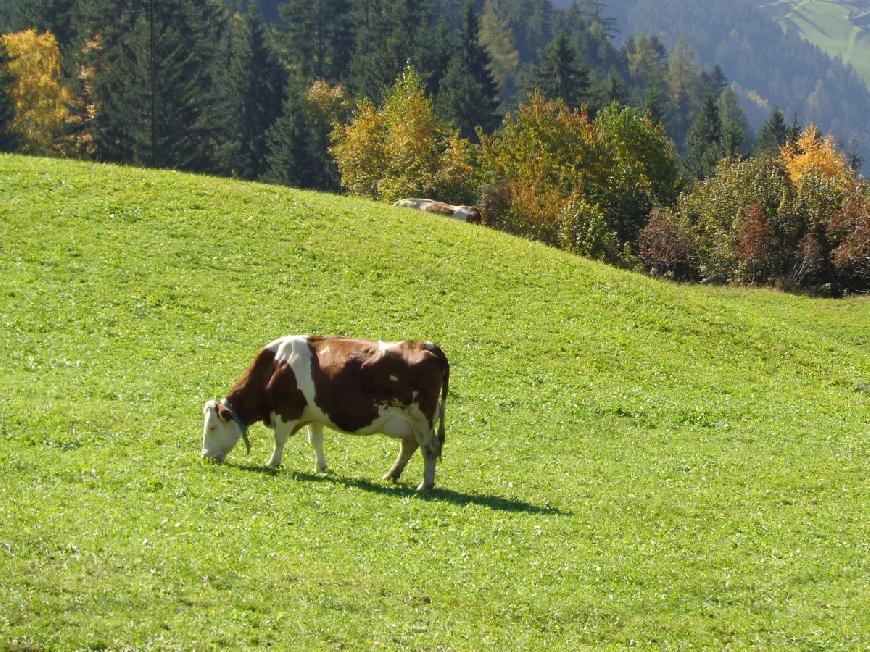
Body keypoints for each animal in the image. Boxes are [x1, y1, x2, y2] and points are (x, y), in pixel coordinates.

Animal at [202, 336, 454, 488]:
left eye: (212, 427)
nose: (204, 455)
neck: (275, 366)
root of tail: (430, 348)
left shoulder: (285, 412)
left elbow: (279, 440)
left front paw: (273, 462)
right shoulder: (314, 414)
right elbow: (316, 440)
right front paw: (321, 467)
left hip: (421, 419)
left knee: (430, 448)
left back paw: (425, 485)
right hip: (411, 423)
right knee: (409, 446)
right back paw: (391, 475)